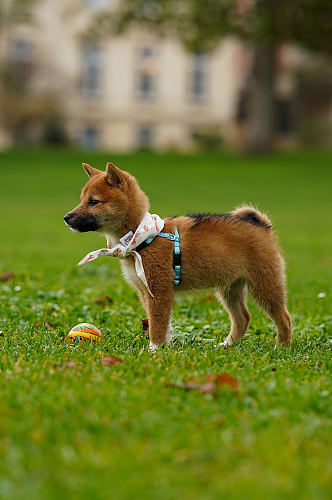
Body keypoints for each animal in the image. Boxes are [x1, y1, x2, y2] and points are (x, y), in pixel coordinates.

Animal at [63, 162, 292, 350]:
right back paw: (227, 345)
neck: (142, 236)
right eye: (82, 200)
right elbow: (160, 324)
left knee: (284, 317)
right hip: (230, 288)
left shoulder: (159, 291)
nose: (66, 217)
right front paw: (163, 345)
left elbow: (157, 324)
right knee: (243, 318)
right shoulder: (145, 292)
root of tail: (261, 225)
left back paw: (282, 346)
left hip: (264, 285)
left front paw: (154, 349)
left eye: (93, 201)